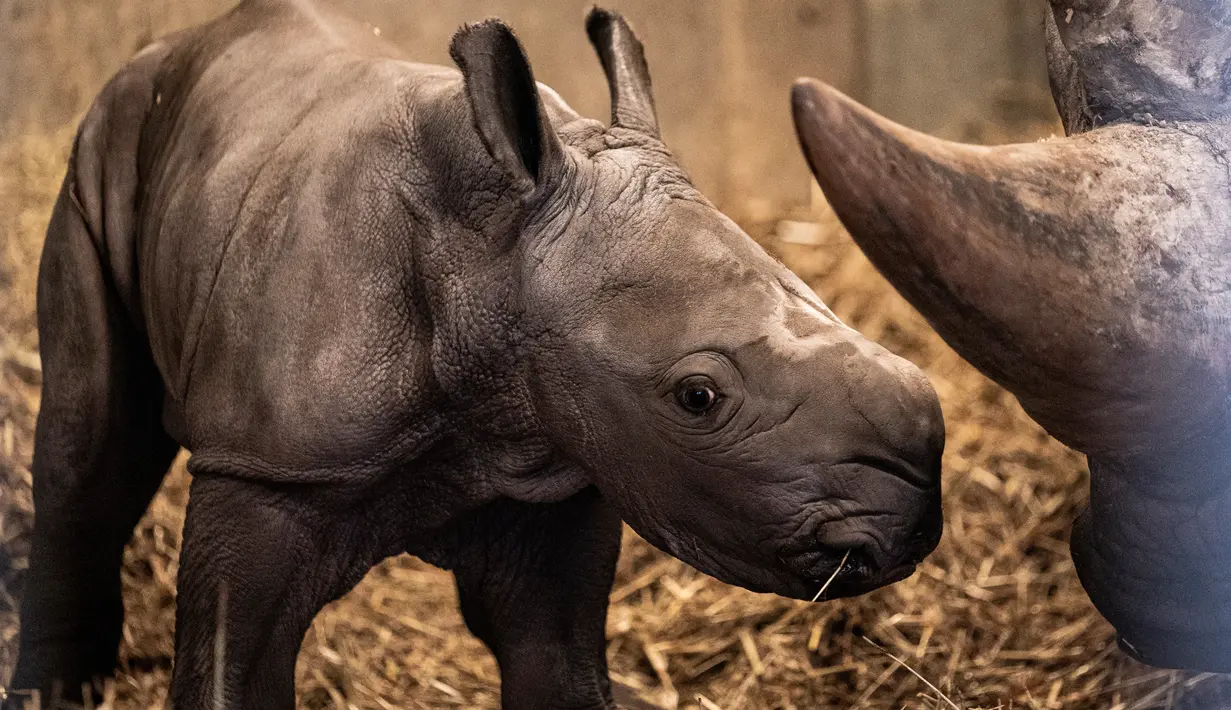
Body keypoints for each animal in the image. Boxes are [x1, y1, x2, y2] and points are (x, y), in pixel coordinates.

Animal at [10, 1, 945, 707]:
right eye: (697, 397)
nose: (904, 524)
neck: (491, 251)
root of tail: (180, 41)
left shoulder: (561, 450)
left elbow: (554, 662)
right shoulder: (267, 463)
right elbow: (231, 666)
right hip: (101, 150)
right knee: (88, 450)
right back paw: (56, 691)